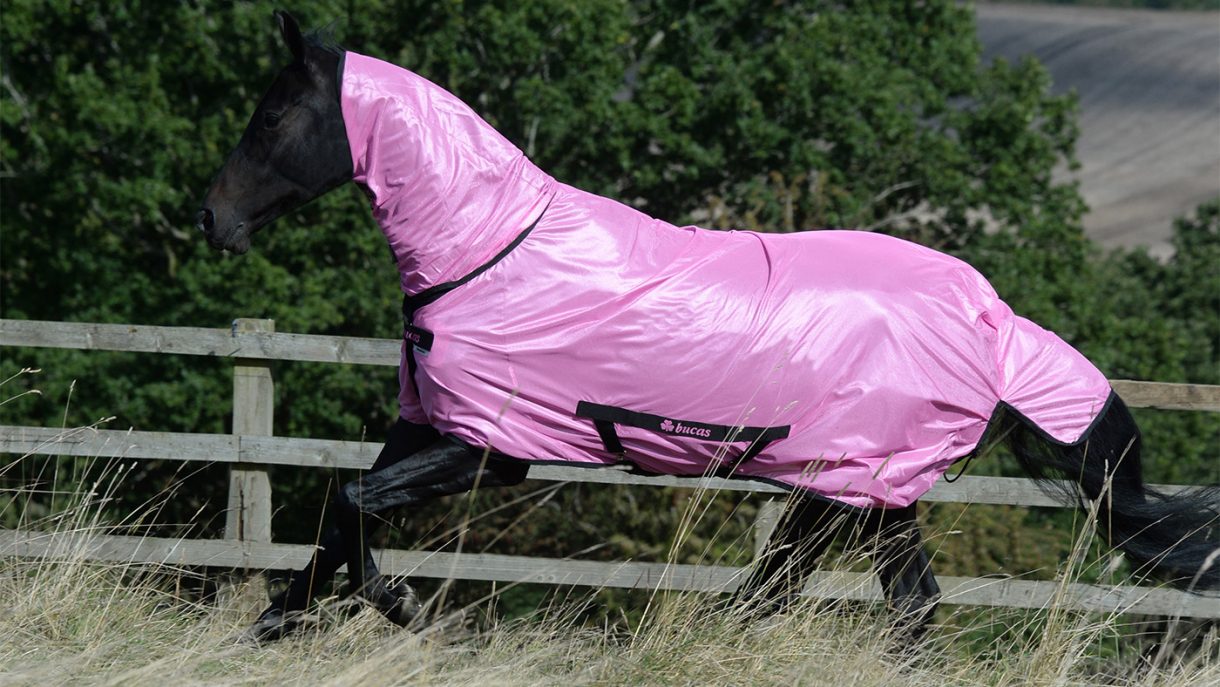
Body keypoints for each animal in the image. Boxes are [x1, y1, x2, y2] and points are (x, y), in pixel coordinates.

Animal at [198, 12, 1219, 642]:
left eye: (275, 113)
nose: (212, 220)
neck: (487, 250)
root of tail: (993, 320)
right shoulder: (429, 427)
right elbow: (343, 512)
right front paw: (287, 616)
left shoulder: (488, 448)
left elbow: (349, 506)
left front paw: (398, 606)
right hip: (869, 497)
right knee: (885, 604)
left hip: (844, 492)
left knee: (817, 595)